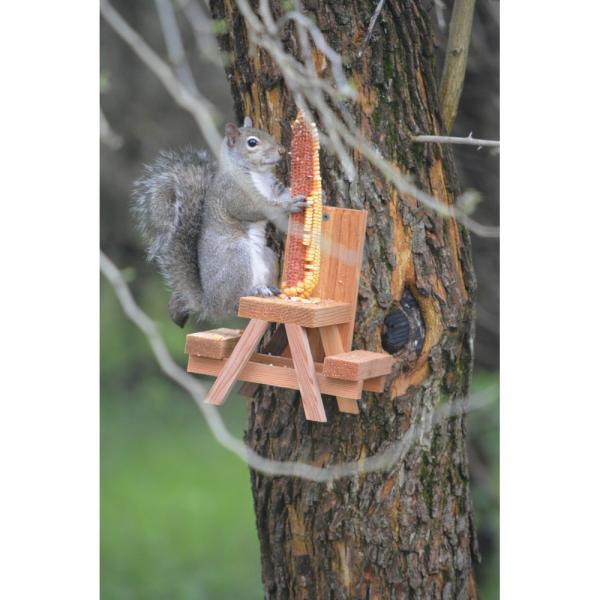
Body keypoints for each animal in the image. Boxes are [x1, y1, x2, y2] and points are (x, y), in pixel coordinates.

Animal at [134, 117, 308, 328]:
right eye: (252, 143)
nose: (282, 151)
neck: (257, 174)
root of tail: (211, 304)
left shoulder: (272, 188)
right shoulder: (234, 193)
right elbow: (258, 209)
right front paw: (290, 205)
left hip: (268, 256)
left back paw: (269, 289)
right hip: (237, 258)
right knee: (234, 302)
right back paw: (253, 291)